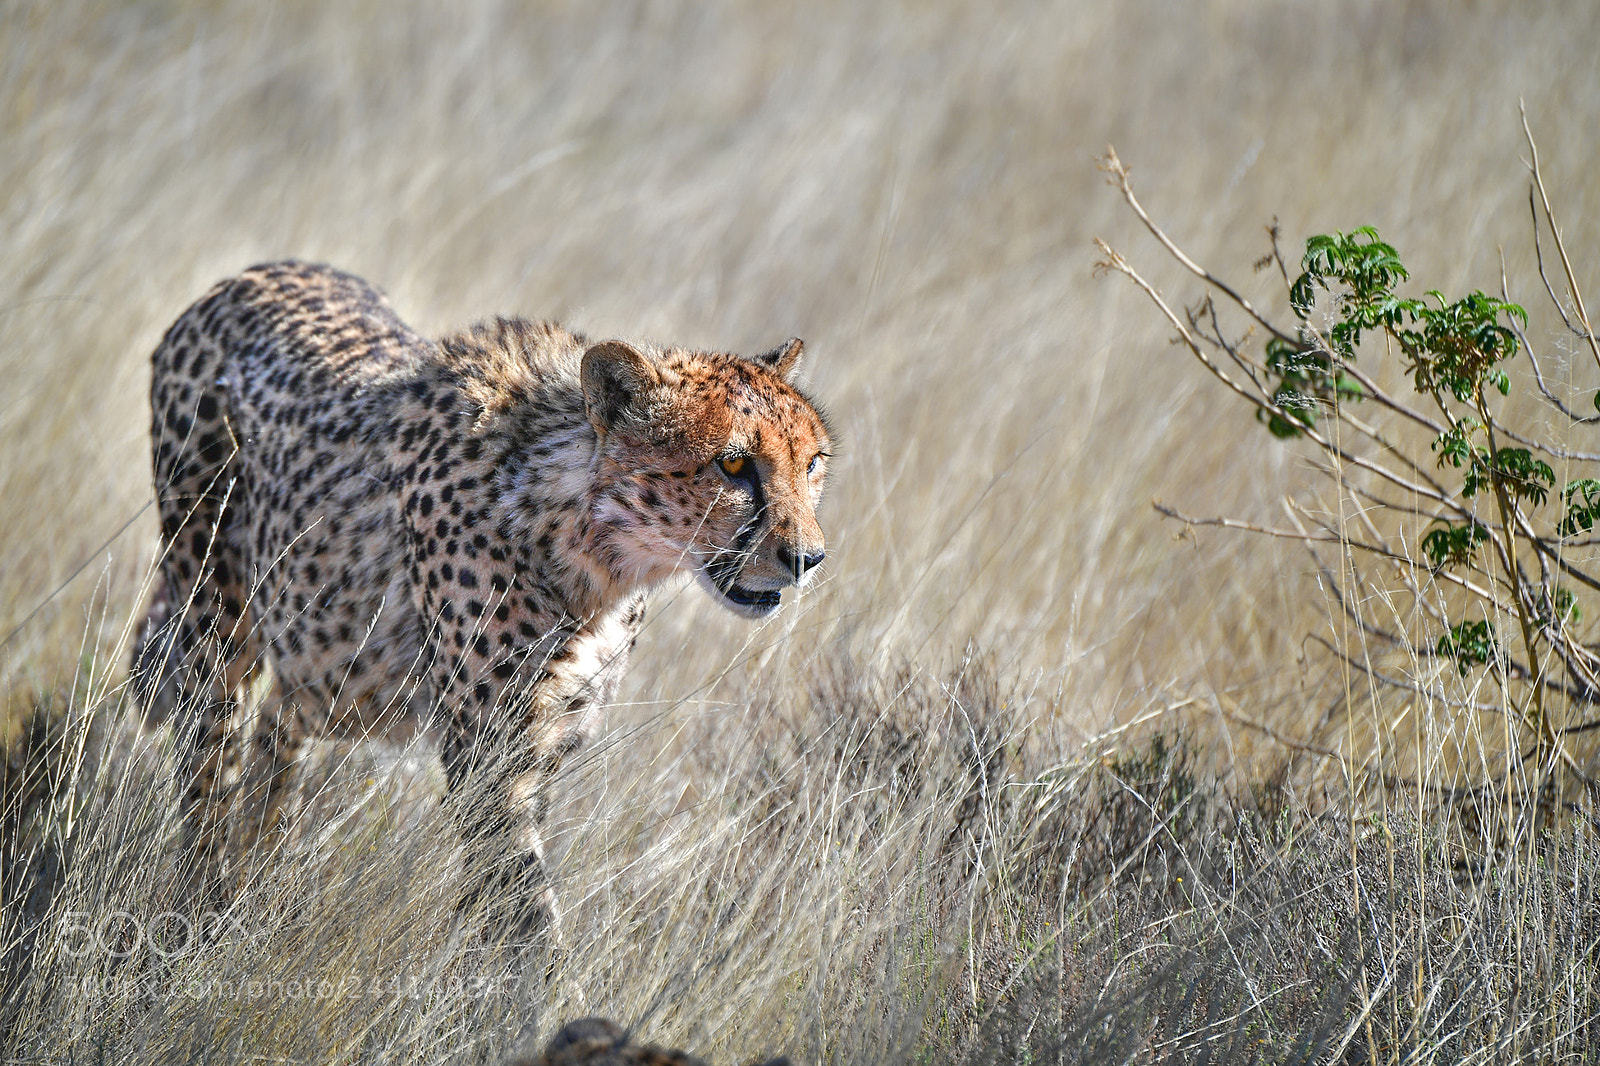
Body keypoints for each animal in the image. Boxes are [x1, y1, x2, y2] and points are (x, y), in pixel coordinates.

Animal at [129, 259, 831, 942]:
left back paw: (255, 882)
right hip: (214, 611)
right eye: (733, 465)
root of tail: (245, 277)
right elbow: (524, 909)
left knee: (278, 729)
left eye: (813, 462)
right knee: (207, 758)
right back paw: (196, 912)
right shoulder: (489, 749)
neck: (592, 545)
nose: (807, 558)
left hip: (326, 662)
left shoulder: (545, 739)